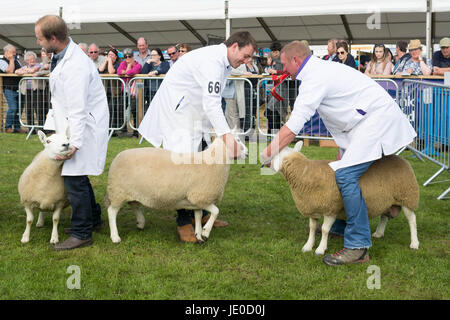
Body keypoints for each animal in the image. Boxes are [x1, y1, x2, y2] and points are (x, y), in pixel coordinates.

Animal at [105, 131, 248, 244]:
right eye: (238, 140)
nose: (247, 153)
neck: (213, 162)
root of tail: (117, 157)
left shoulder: (196, 200)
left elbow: (198, 216)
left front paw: (198, 235)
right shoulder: (201, 196)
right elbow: (216, 211)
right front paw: (206, 232)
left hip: (132, 191)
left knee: (134, 205)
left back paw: (140, 222)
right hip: (118, 191)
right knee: (111, 211)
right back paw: (115, 237)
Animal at [268, 141, 420, 256]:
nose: (266, 163)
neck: (304, 174)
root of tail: (402, 159)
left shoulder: (331, 208)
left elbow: (324, 230)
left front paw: (320, 249)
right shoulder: (312, 208)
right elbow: (312, 228)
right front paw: (308, 246)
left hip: (408, 196)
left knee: (412, 220)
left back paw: (414, 243)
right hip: (386, 199)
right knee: (384, 216)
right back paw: (378, 233)